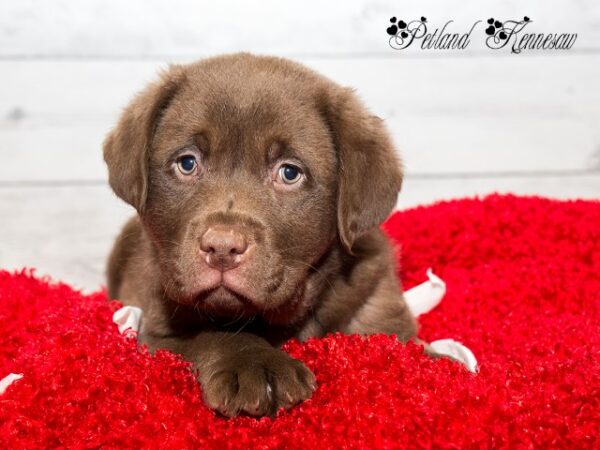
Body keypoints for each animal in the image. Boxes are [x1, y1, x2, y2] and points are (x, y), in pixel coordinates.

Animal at [104, 53, 418, 418]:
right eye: (187, 163)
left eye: (289, 172)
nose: (222, 248)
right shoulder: (153, 327)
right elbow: (211, 334)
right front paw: (255, 364)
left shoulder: (377, 306)